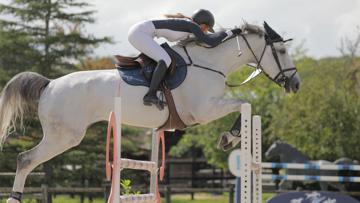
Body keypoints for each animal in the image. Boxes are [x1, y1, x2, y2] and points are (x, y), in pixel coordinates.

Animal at [0, 21, 300, 202]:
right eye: (282, 50)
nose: (296, 84)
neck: (210, 62)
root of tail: (49, 84)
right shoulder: (204, 110)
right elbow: (244, 104)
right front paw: (230, 137)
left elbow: (245, 105)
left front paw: (229, 137)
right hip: (64, 136)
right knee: (25, 159)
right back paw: (14, 196)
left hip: (62, 136)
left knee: (26, 159)